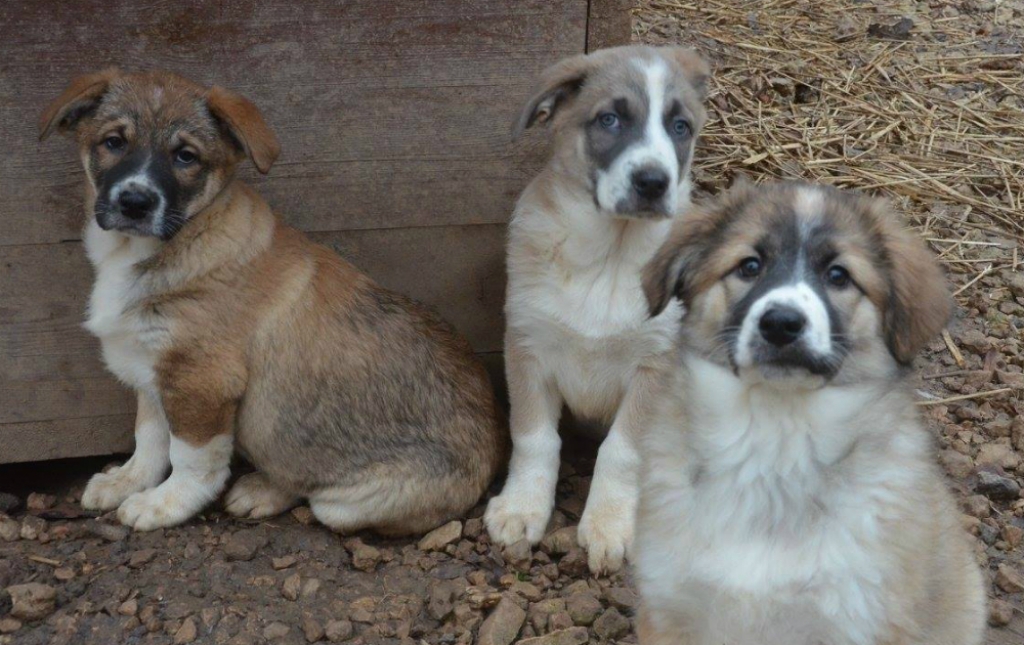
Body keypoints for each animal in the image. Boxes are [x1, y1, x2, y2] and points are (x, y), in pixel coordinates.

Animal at [38, 69, 503, 536]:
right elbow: (149, 435)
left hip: (343, 503)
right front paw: (128, 480)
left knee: (311, 486)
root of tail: (494, 448)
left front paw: (165, 504)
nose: (135, 202)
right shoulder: (152, 365)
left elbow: (190, 457)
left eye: (186, 156)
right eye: (114, 141)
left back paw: (264, 489)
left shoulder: (201, 379)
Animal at [483, 45, 708, 573]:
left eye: (680, 127)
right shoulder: (526, 347)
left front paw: (609, 525)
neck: (609, 256)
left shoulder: (655, 367)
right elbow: (535, 439)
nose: (654, 182)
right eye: (610, 119)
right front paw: (522, 507)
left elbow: (621, 451)